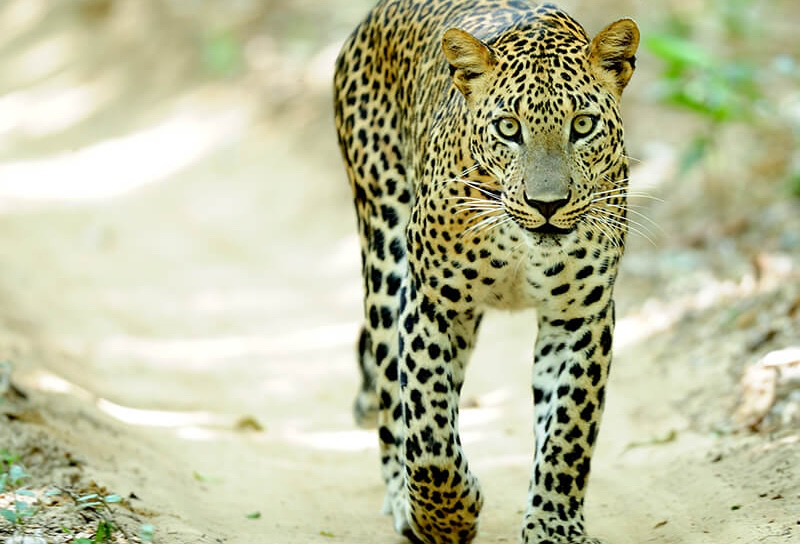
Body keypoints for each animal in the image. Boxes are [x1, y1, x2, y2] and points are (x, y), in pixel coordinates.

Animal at [333, 1, 639, 543]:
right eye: (508, 129)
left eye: (582, 126)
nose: (546, 205)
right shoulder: (433, 303)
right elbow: (429, 431)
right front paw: (447, 518)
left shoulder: (579, 317)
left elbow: (568, 428)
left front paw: (554, 526)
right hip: (385, 251)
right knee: (391, 397)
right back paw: (401, 497)